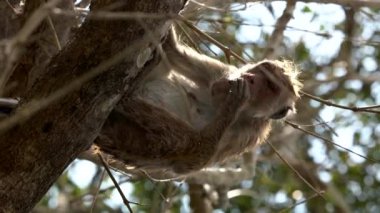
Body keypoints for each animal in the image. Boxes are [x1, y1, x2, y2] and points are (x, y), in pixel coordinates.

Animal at [95, 27, 302, 175]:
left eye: (271, 86)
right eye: (262, 72)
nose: (250, 78)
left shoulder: (247, 134)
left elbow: (195, 157)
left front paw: (231, 107)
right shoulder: (222, 72)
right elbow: (174, 53)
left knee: (177, 141)